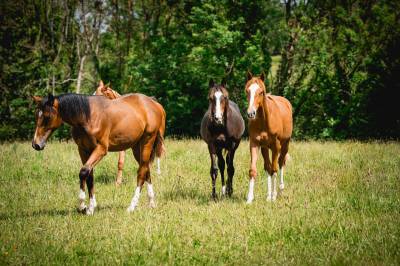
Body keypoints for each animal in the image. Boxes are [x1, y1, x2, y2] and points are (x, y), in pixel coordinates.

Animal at [30, 92, 166, 215]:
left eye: (47, 116)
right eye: (36, 115)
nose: (36, 144)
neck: (87, 117)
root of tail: (154, 103)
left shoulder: (100, 149)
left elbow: (83, 172)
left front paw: (82, 205)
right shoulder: (83, 150)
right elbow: (89, 176)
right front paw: (90, 207)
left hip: (147, 142)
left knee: (141, 172)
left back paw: (132, 206)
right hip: (136, 147)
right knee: (146, 169)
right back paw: (151, 203)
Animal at [242, 71, 292, 204]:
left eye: (261, 92)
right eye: (247, 91)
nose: (251, 113)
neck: (264, 121)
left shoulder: (276, 146)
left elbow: (275, 169)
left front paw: (274, 196)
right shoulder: (254, 144)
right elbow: (253, 170)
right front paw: (249, 199)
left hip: (285, 144)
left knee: (280, 163)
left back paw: (279, 190)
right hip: (265, 147)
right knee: (267, 167)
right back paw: (268, 195)